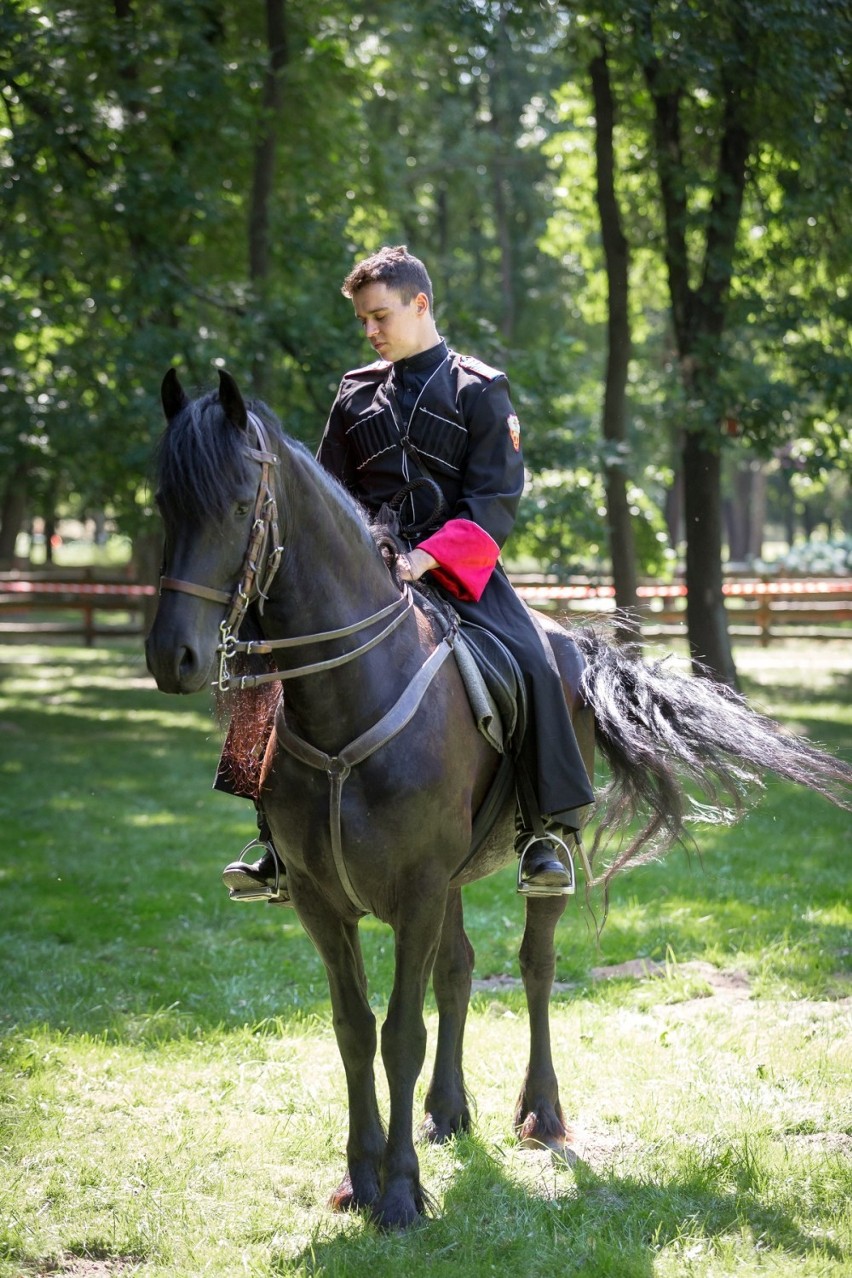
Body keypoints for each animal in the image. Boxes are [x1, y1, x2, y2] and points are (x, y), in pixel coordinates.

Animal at [146, 368, 852, 1226]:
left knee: (534, 967)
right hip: (447, 879)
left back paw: (541, 1112)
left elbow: (400, 1034)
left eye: (240, 500)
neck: (349, 695)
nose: (172, 655)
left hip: (536, 863)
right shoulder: (323, 899)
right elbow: (355, 1029)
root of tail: (573, 642)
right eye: (164, 502)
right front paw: (361, 1178)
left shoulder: (415, 890)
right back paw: (448, 1111)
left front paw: (401, 1194)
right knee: (458, 971)